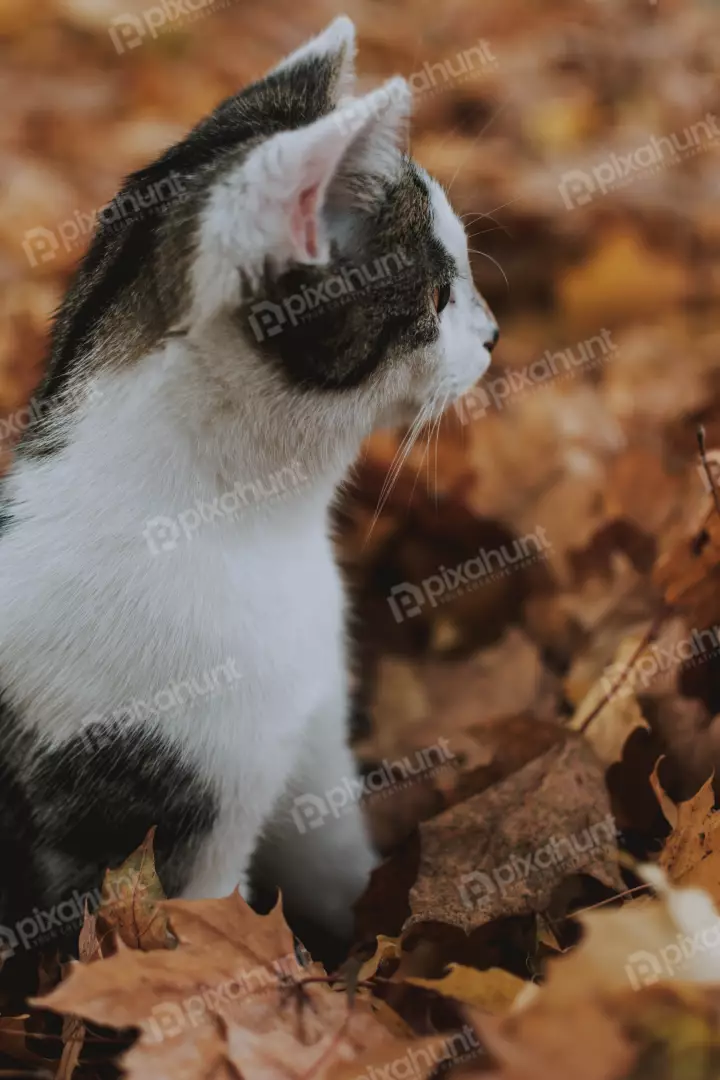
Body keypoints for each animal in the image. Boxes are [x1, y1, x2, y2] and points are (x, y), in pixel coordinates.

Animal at [0, 12, 496, 950]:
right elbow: (218, 941)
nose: (494, 333)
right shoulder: (187, 816)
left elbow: (339, 862)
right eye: (438, 299)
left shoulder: (308, 730)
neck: (252, 528)